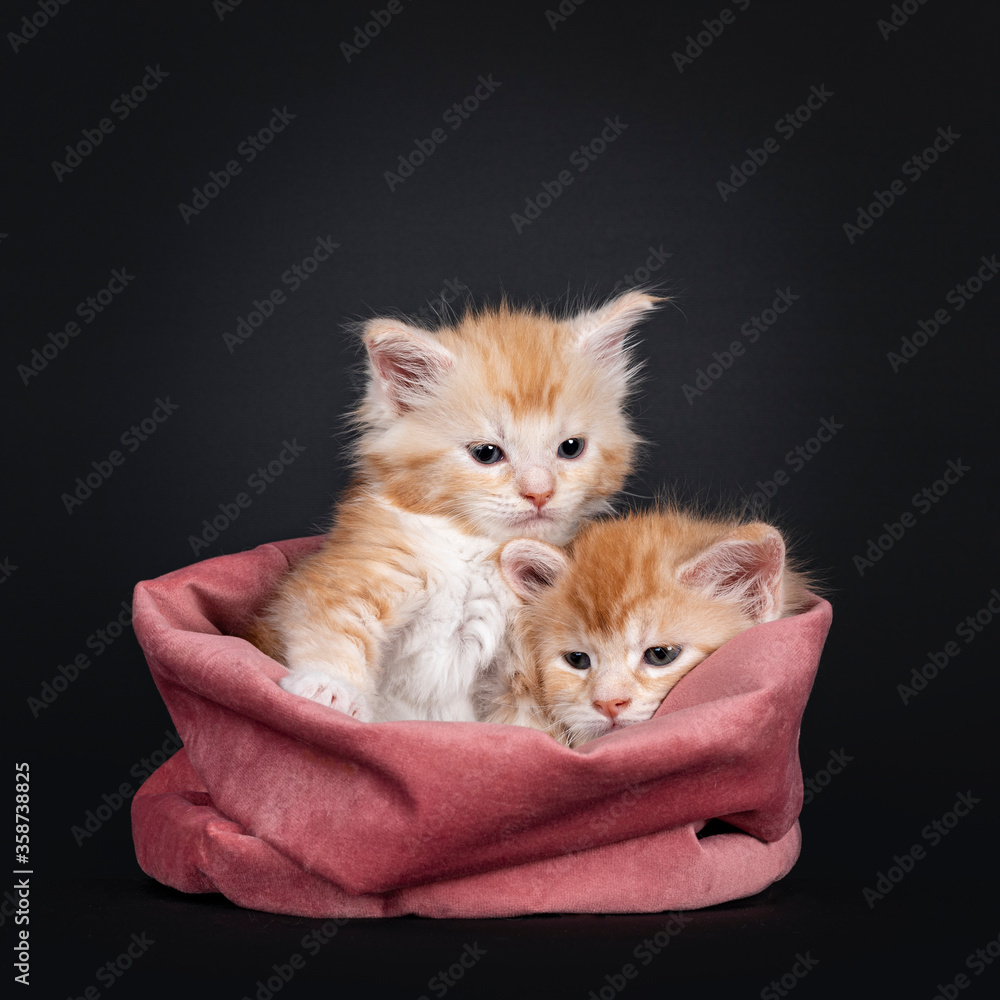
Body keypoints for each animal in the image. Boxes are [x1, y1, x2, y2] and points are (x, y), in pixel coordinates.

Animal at [246, 292, 660, 724]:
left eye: (571, 448)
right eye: (486, 453)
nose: (540, 492)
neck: (478, 551)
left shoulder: (525, 652)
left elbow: (525, 718)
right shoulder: (359, 569)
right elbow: (334, 624)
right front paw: (330, 689)